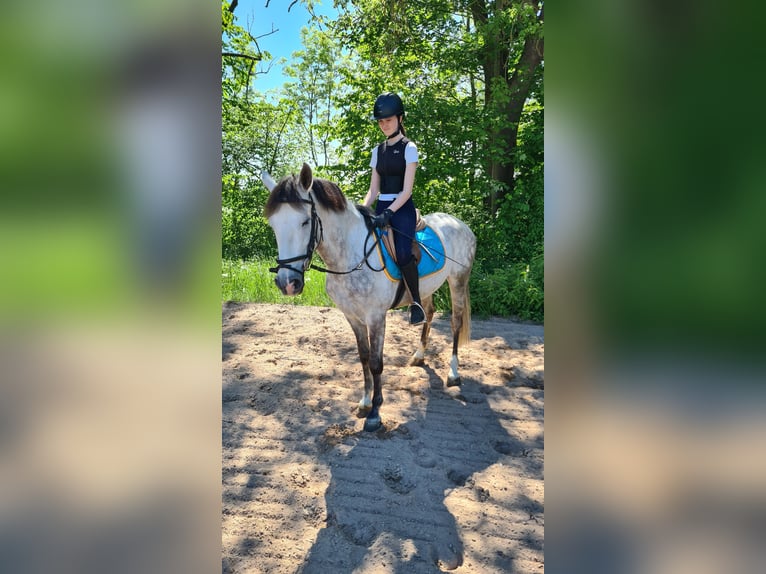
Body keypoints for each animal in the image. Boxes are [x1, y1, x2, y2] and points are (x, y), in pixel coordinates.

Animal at [261, 163, 476, 432]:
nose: (287, 283)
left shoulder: (375, 317)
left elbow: (375, 362)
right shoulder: (352, 316)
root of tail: (459, 223)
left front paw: (375, 413)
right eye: (273, 225)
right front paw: (364, 403)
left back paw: (453, 373)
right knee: (428, 312)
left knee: (456, 322)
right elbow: (363, 357)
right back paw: (418, 356)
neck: (350, 256)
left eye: (304, 222)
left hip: (458, 280)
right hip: (427, 288)